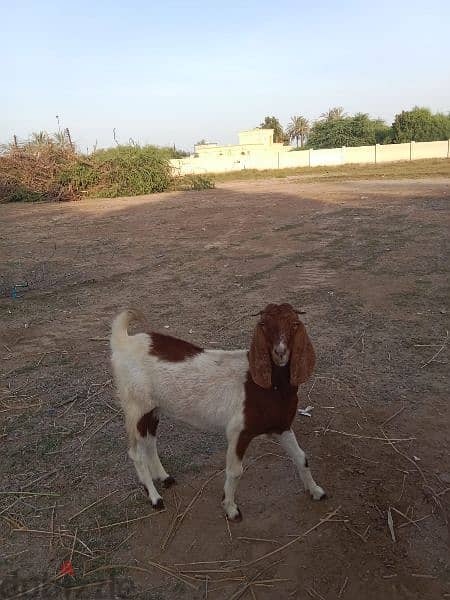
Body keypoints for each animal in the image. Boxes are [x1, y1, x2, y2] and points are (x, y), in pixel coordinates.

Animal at [110, 304, 326, 520]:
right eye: (263, 325)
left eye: (295, 324)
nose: (280, 352)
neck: (269, 387)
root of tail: (123, 342)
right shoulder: (239, 431)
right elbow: (235, 471)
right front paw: (231, 508)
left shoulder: (281, 426)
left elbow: (302, 457)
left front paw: (316, 491)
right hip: (136, 406)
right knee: (135, 452)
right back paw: (155, 498)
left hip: (153, 408)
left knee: (149, 441)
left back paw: (165, 478)